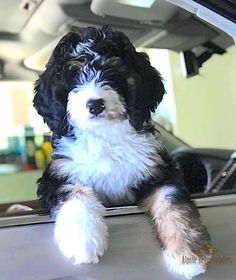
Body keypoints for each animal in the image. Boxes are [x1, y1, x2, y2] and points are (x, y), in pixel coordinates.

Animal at [32, 26, 212, 280]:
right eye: (73, 76)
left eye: (112, 73)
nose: (95, 104)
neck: (106, 136)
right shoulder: (56, 176)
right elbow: (75, 192)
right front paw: (84, 240)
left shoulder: (159, 169)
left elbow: (174, 203)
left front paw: (188, 256)